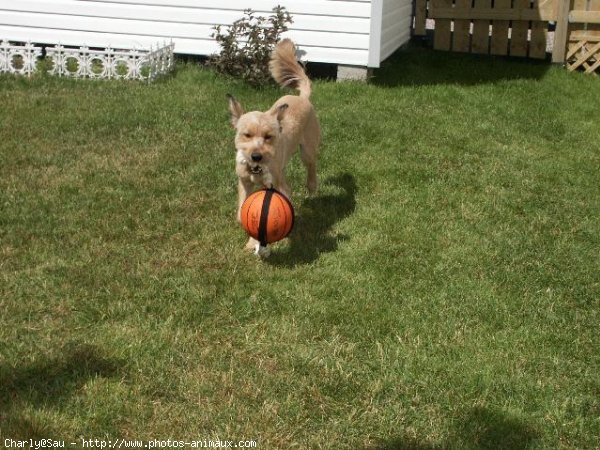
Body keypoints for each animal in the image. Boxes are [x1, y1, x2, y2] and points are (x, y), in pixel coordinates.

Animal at [229, 39, 322, 253]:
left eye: (269, 137)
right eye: (247, 135)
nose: (256, 156)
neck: (256, 170)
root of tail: (302, 98)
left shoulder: (277, 188)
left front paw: (255, 243)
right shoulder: (244, 182)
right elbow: (241, 213)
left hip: (307, 149)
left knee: (311, 166)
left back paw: (312, 186)